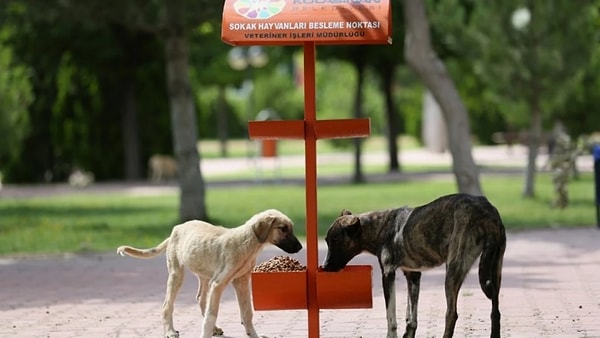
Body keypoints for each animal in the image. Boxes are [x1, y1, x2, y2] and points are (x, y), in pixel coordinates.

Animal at [118, 209, 304, 338]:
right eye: (283, 228)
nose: (300, 247)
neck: (247, 243)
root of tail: (177, 228)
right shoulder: (219, 283)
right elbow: (212, 314)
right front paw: (205, 333)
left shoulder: (241, 282)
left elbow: (247, 313)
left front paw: (255, 335)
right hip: (177, 274)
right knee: (167, 305)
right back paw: (170, 331)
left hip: (205, 276)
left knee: (202, 299)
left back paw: (214, 329)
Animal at [322, 194, 504, 338]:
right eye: (327, 241)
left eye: (335, 241)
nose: (324, 267)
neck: (380, 227)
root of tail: (486, 211)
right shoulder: (413, 275)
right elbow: (411, 316)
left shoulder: (388, 274)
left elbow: (391, 317)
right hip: (496, 270)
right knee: (495, 312)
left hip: (453, 271)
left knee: (452, 314)